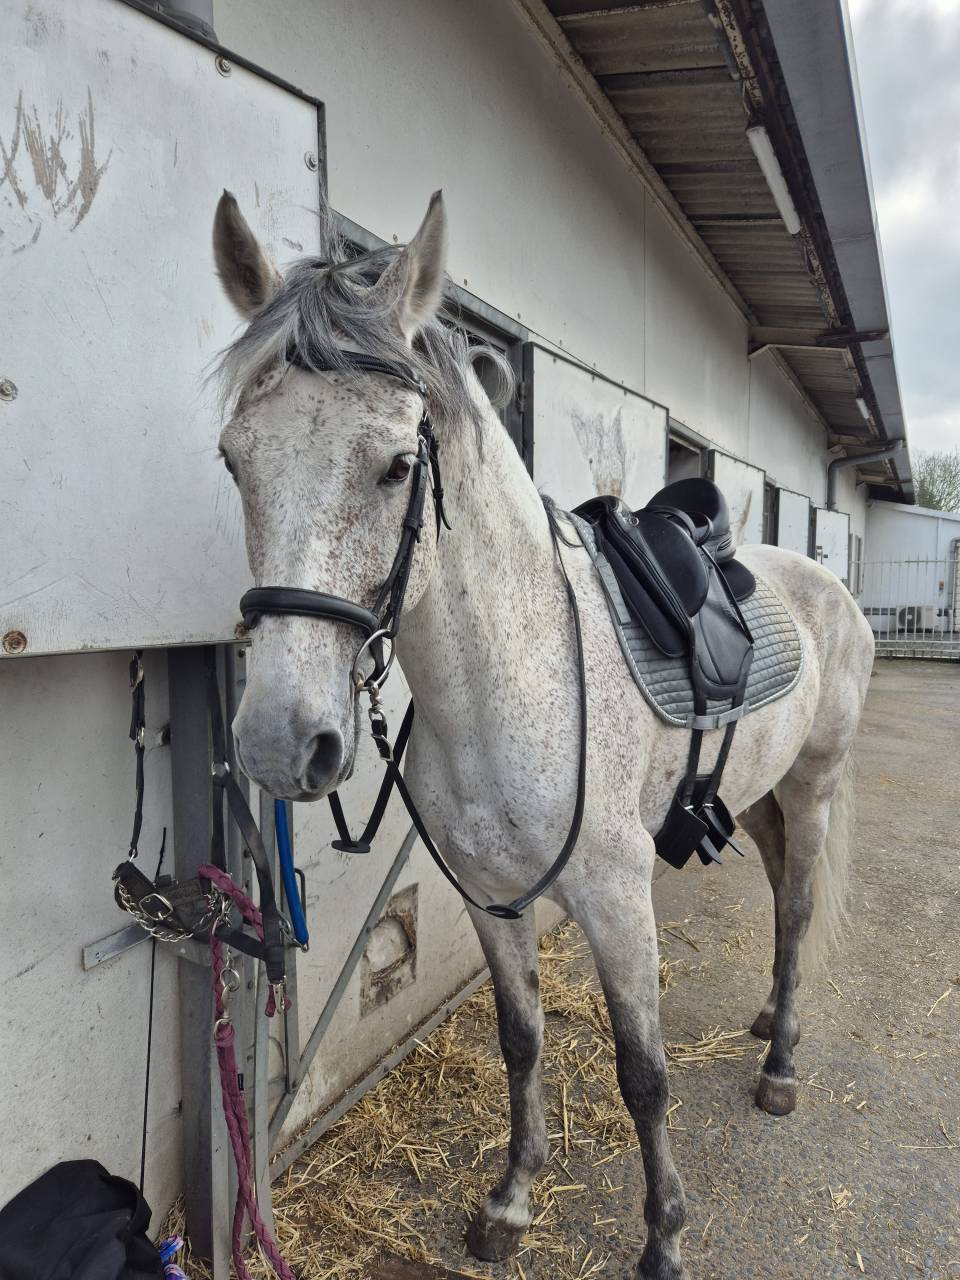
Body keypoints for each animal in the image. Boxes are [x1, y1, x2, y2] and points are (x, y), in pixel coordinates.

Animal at [209, 189, 875, 1279]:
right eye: (235, 458)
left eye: (398, 464)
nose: (278, 740)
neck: (510, 682)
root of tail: (825, 582)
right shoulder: (490, 895)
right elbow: (520, 1041)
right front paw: (512, 1201)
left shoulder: (615, 894)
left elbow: (643, 1070)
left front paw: (663, 1237)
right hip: (763, 796)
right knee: (786, 894)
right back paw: (768, 1022)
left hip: (814, 786)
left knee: (797, 911)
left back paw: (780, 1065)